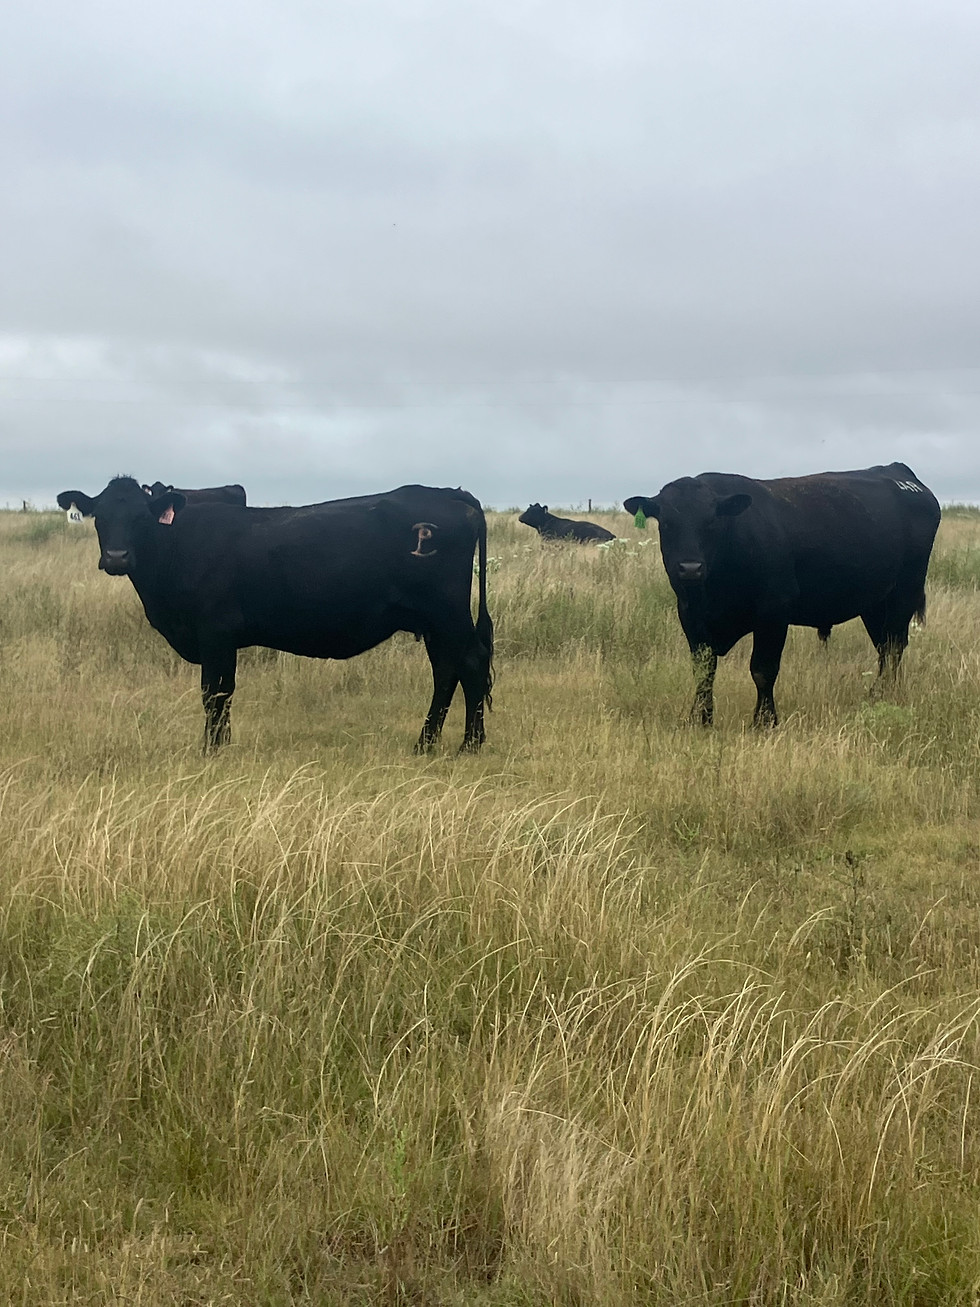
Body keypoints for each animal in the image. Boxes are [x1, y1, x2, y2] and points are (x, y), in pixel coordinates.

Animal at [56, 478, 493, 754]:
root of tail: (450, 494)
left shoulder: (214, 632)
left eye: (140, 518)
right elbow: (223, 692)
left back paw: (459, 745)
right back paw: (438, 743)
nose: (117, 557)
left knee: (466, 665)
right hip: (434, 623)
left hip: (446, 615)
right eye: (100, 517)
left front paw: (210, 749)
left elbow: (214, 692)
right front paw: (222, 744)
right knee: (450, 671)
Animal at [623, 462, 941, 727]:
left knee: (894, 646)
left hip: (904, 591)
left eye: (711, 521)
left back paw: (883, 695)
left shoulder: (773, 614)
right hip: (874, 603)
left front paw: (764, 721)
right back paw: (881, 694)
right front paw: (700, 720)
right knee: (885, 648)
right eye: (666, 523)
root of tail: (898, 472)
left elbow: (763, 670)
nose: (690, 568)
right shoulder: (691, 616)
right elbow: (704, 672)